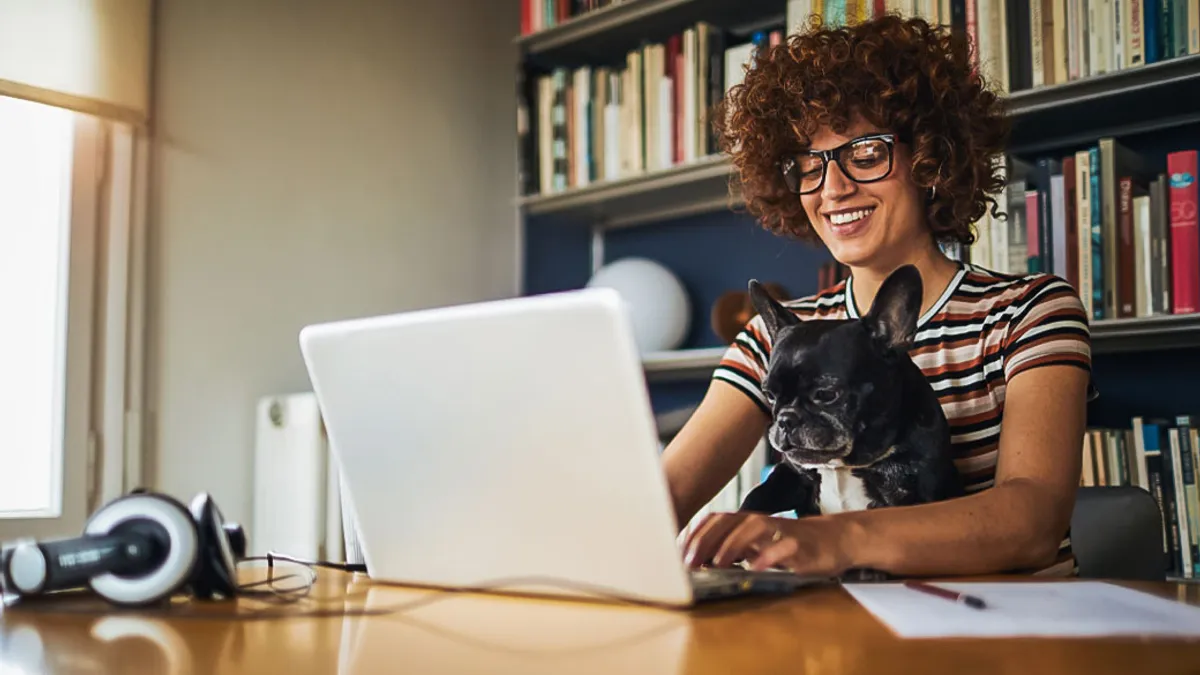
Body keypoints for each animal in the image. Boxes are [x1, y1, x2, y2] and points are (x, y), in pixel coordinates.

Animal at [739, 263, 964, 514]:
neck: (841, 464)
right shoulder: (790, 474)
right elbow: (755, 497)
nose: (786, 420)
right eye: (770, 395)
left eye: (826, 394)